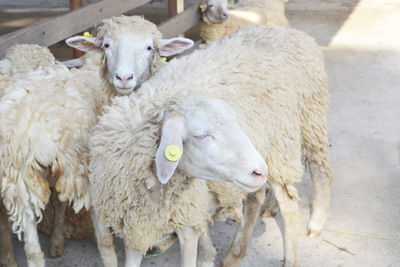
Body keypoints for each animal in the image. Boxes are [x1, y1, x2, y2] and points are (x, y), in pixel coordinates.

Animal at [89, 24, 332, 266]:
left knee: (306, 186)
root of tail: (287, 31)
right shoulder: (135, 228)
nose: (123, 77)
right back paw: (235, 251)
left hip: (295, 134)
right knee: (255, 198)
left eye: (149, 47)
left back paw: (310, 231)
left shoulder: (188, 220)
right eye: (202, 135)